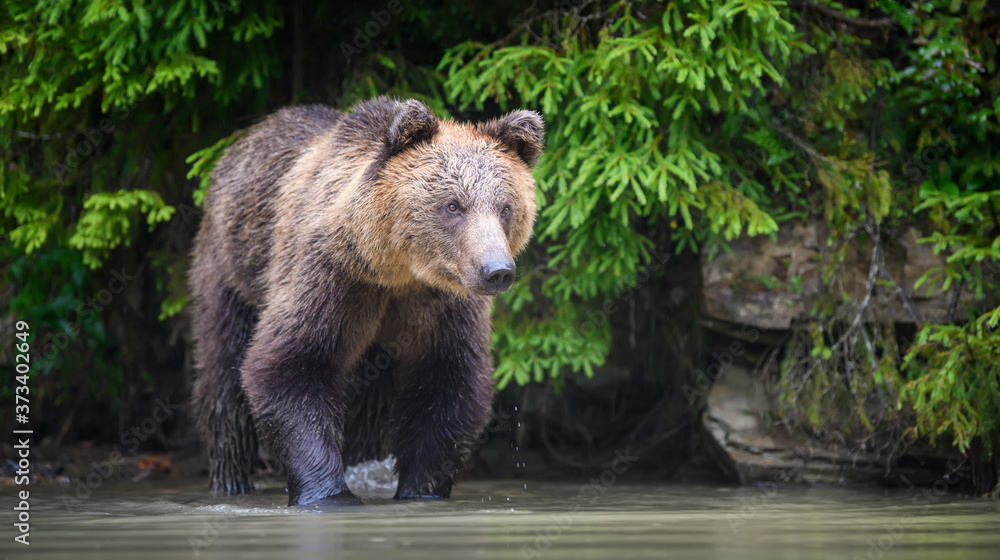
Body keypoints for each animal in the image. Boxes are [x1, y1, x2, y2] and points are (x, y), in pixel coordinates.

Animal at [189, 97, 543, 506]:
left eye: (505, 207)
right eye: (454, 205)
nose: (496, 270)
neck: (398, 272)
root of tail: (243, 139)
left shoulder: (442, 304)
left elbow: (448, 382)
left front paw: (420, 490)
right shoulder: (332, 277)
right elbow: (290, 364)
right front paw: (328, 493)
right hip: (230, 269)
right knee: (222, 376)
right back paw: (231, 480)